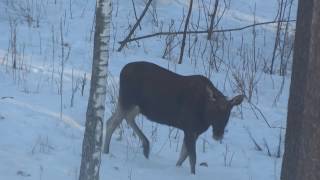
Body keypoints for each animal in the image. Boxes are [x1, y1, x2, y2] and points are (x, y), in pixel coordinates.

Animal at [104, 61, 244, 174]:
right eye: (214, 110)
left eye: (228, 113)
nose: (218, 134)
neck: (204, 115)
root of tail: (123, 70)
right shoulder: (189, 128)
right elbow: (192, 158)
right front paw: (192, 174)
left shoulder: (194, 132)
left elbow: (183, 156)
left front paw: (176, 169)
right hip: (127, 100)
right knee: (112, 122)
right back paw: (106, 151)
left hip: (135, 106)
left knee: (124, 118)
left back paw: (145, 146)